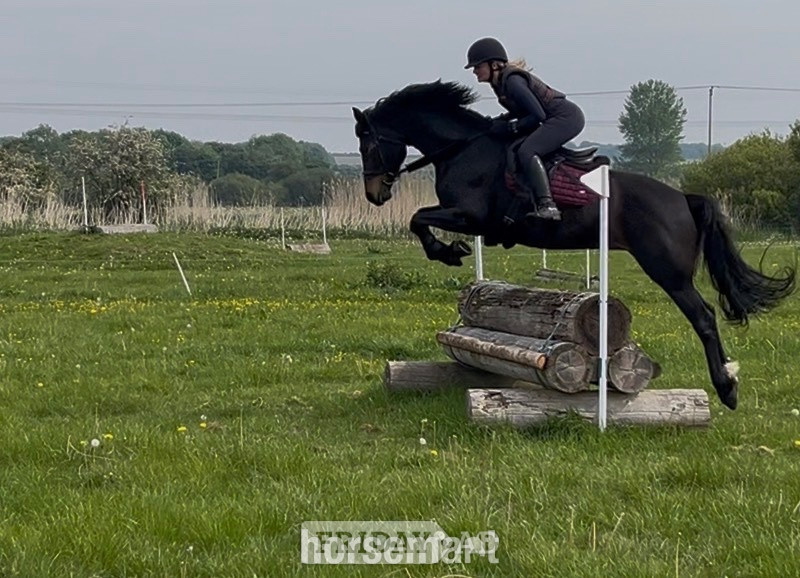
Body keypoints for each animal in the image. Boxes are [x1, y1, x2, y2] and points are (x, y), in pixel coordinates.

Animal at [351, 80, 796, 410]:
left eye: (368, 144)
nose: (374, 195)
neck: (463, 147)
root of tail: (682, 198)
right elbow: (417, 219)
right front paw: (450, 251)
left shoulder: (470, 215)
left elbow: (417, 218)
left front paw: (447, 252)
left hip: (667, 270)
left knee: (703, 316)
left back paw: (727, 388)